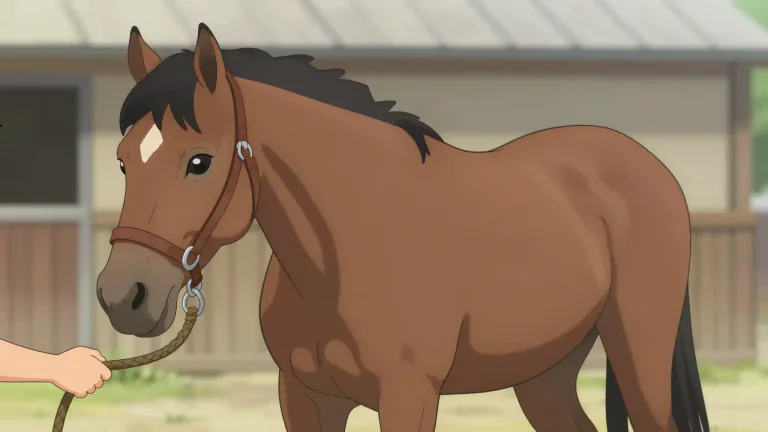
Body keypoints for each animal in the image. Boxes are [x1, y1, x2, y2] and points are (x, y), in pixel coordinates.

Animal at [96, 23, 710, 432]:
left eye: (199, 162)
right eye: (123, 160)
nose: (123, 295)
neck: (344, 253)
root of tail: (648, 166)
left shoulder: (409, 397)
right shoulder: (304, 398)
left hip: (640, 359)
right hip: (546, 375)